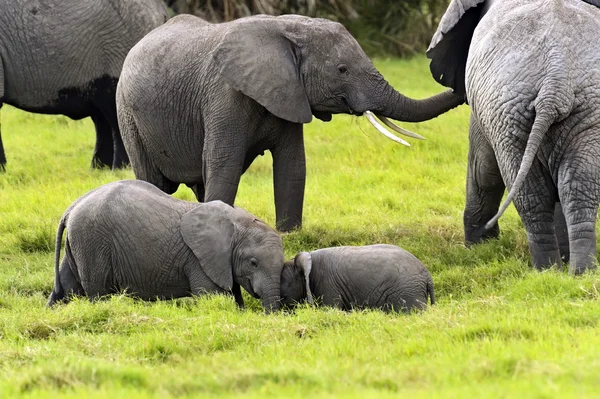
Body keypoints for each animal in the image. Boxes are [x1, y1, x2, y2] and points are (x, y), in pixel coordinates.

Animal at [45, 181, 284, 312]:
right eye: (253, 263)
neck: (237, 224)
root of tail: (71, 208)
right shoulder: (199, 260)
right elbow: (211, 296)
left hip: (80, 242)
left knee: (66, 287)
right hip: (92, 242)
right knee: (98, 291)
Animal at [117, 14, 464, 231]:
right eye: (342, 70)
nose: (458, 82)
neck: (286, 28)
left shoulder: (289, 93)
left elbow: (293, 164)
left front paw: (290, 233)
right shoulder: (225, 94)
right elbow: (225, 162)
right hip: (126, 113)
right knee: (153, 179)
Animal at [426, 0, 600, 276]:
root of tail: (555, 82)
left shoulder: (484, 110)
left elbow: (483, 169)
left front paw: (478, 246)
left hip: (508, 110)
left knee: (530, 195)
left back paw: (546, 271)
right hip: (577, 110)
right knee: (577, 186)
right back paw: (579, 273)